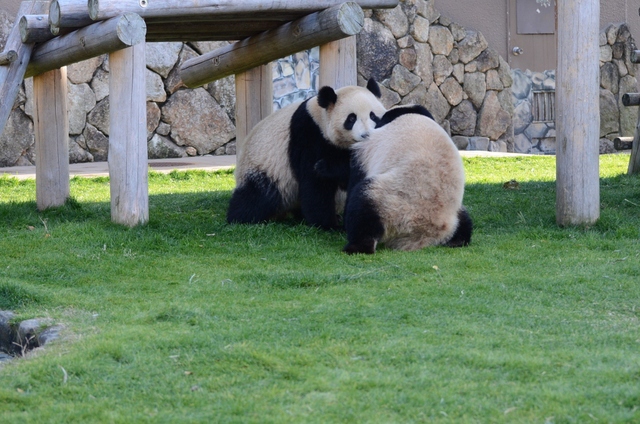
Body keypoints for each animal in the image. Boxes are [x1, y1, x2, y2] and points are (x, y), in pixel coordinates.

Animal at [225, 78, 384, 230]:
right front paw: (328, 225)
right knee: (257, 196)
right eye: (351, 118)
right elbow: (315, 183)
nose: (366, 135)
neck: (320, 118)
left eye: (373, 116)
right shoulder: (309, 135)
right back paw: (241, 218)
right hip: (264, 168)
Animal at [340, 104, 470, 253]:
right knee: (464, 221)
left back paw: (357, 247)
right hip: (451, 216)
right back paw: (457, 241)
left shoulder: (366, 151)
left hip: (391, 205)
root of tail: (422, 236)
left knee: (363, 206)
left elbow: (355, 182)